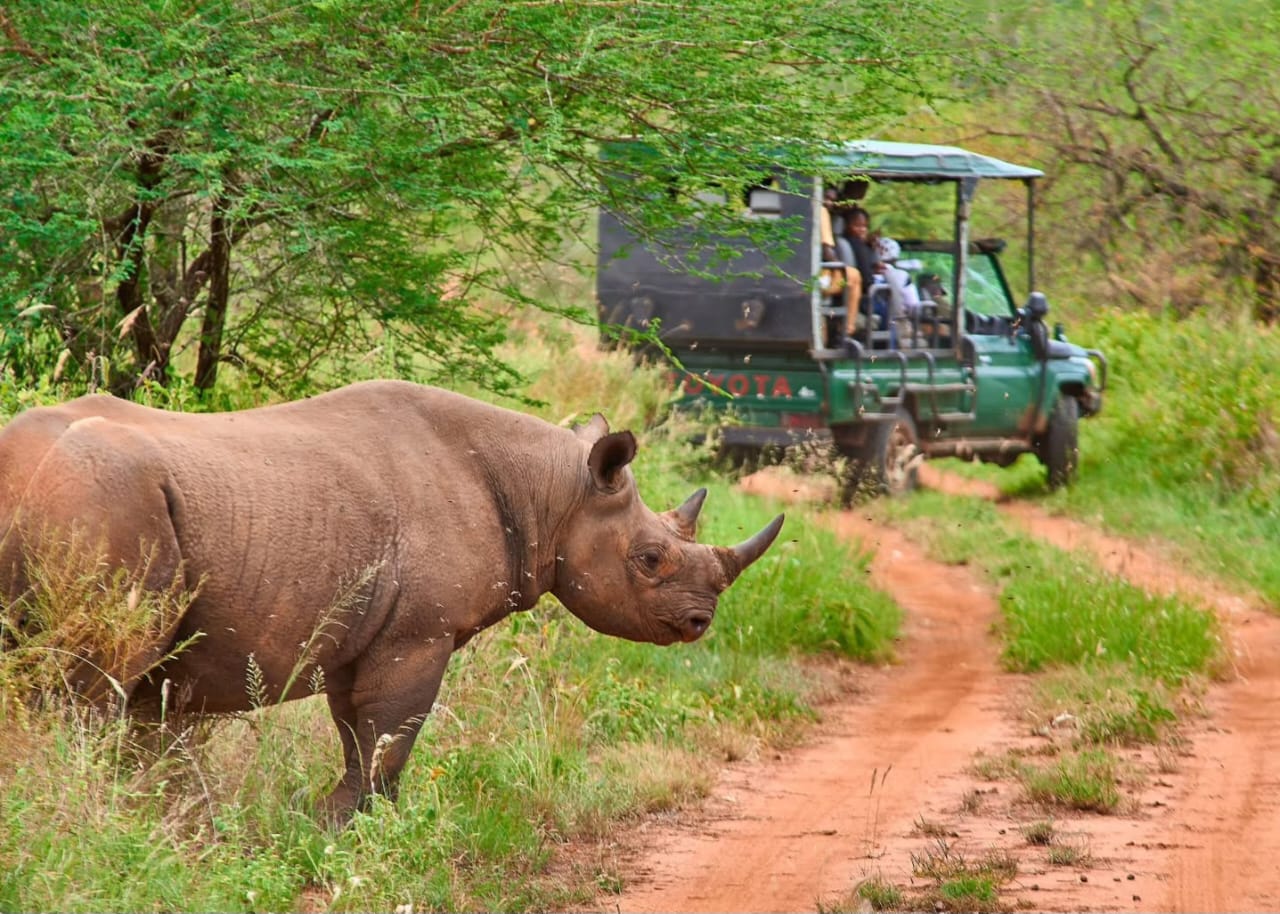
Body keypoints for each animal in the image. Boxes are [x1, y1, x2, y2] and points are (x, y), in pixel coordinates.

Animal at [0, 380, 783, 823]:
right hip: (105, 496)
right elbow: (390, 731)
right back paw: (90, 809)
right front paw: (364, 828)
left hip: (77, 495)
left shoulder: (365, 631)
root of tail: (24, 462)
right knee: (96, 685)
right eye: (650, 560)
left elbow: (357, 729)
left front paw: (332, 819)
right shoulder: (418, 633)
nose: (700, 622)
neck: (555, 490)